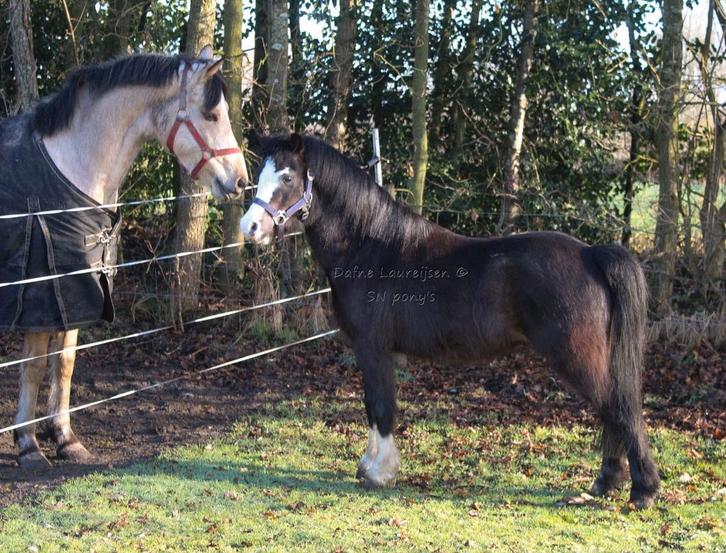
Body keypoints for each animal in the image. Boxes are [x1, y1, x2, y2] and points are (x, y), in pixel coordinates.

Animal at [0, 46, 248, 469]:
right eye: (211, 114)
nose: (241, 181)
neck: (72, 164)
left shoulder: (78, 292)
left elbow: (64, 363)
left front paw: (65, 439)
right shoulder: (39, 299)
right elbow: (32, 367)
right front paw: (29, 446)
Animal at [238, 133, 661, 509]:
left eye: (287, 177)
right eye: (260, 173)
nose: (250, 229)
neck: (369, 247)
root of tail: (591, 254)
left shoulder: (372, 348)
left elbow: (381, 405)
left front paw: (379, 473)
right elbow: (371, 404)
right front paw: (369, 466)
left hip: (576, 357)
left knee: (619, 409)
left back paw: (642, 491)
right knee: (611, 412)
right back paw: (605, 484)